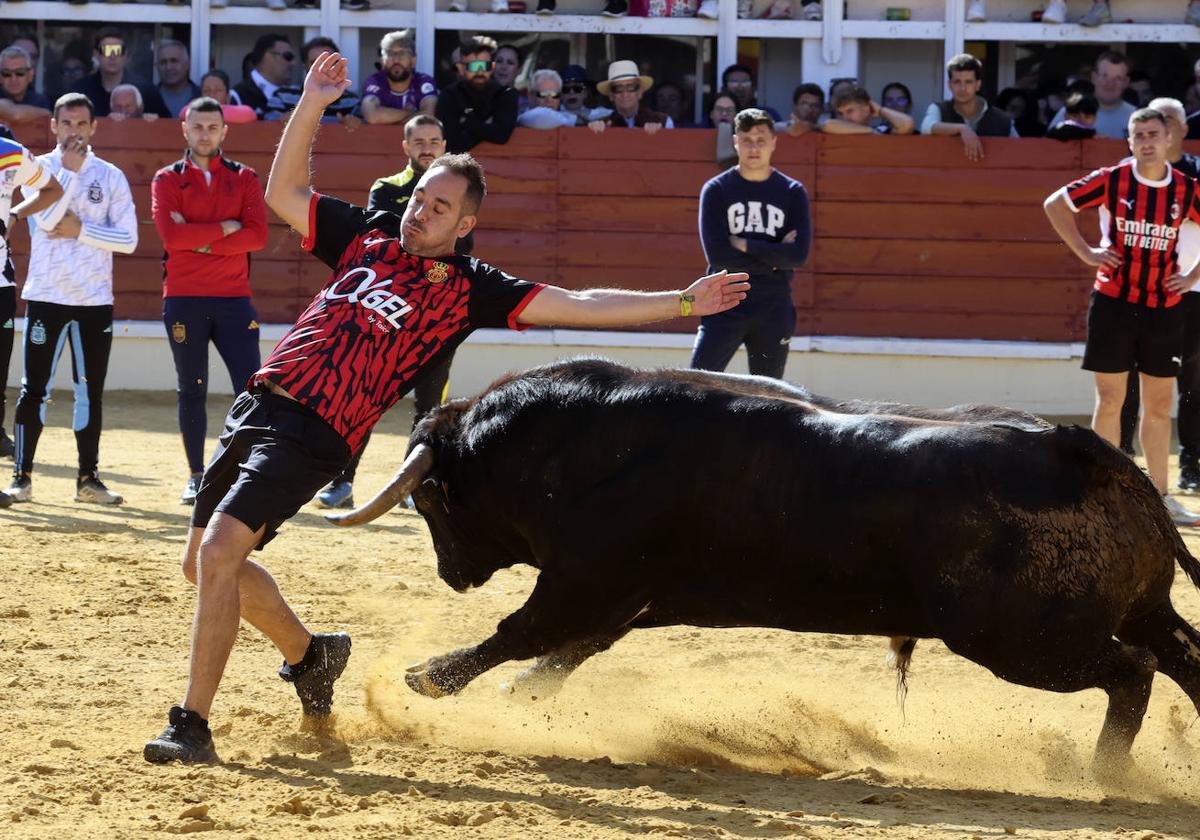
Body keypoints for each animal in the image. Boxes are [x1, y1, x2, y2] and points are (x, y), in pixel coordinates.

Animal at [326, 357, 1200, 763]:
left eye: (429, 501)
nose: (452, 573)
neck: (576, 445)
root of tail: (1082, 450)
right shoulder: (623, 599)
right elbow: (562, 652)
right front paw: (515, 696)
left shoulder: (586, 581)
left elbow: (521, 632)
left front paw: (424, 679)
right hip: (1136, 609)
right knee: (1181, 657)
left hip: (1017, 639)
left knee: (1131, 673)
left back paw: (1102, 772)